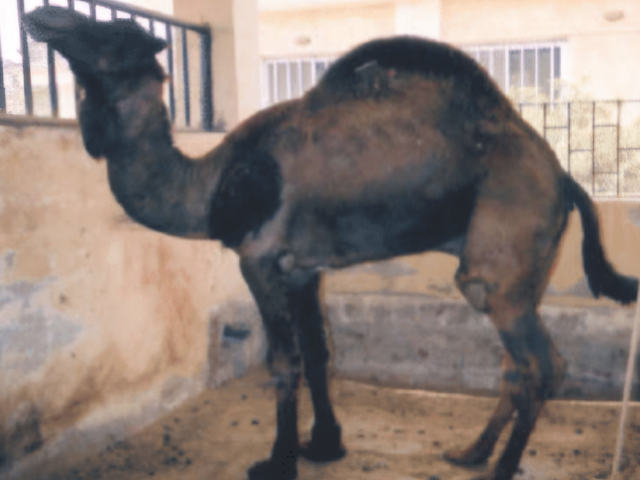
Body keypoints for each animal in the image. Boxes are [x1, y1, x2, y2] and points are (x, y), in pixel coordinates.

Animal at [23, 6, 638, 480]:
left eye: (110, 32)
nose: (41, 16)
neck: (209, 183)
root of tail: (564, 177)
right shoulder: (301, 266)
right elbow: (320, 352)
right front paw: (324, 444)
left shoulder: (259, 259)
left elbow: (284, 360)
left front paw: (277, 461)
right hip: (516, 270)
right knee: (517, 363)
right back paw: (470, 452)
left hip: (502, 253)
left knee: (542, 364)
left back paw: (502, 467)